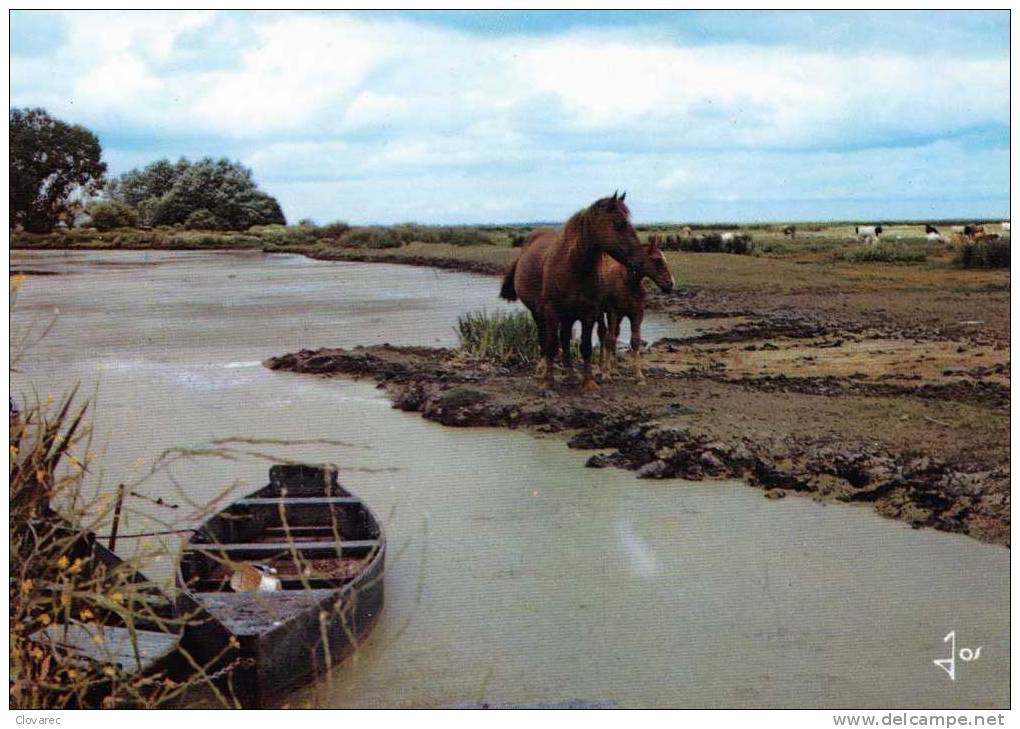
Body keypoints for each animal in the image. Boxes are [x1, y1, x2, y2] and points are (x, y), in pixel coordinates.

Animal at [499, 190, 644, 391]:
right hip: (538, 313)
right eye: (619, 224)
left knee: (566, 339)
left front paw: (588, 382)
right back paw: (542, 370)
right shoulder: (551, 311)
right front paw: (548, 381)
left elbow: (585, 347)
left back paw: (569, 373)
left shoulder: (589, 313)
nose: (640, 261)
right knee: (544, 339)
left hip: (568, 315)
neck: (573, 267)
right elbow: (551, 345)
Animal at [595, 236, 673, 385]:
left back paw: (615, 369)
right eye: (656, 259)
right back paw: (601, 369)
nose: (670, 284)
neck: (628, 281)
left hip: (619, 316)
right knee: (603, 334)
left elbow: (635, 341)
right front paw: (606, 375)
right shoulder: (612, 312)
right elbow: (609, 340)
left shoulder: (637, 314)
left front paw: (639, 376)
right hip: (601, 313)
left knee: (615, 334)